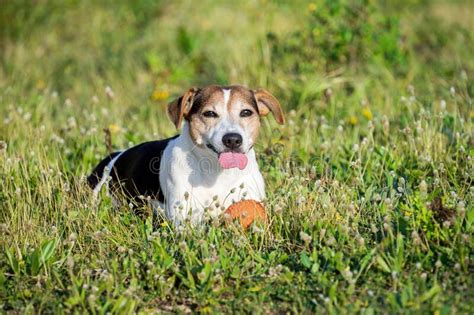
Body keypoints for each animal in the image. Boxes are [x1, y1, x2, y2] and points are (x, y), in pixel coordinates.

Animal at [87, 85, 284, 226]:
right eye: (209, 113)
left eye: (246, 112)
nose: (232, 139)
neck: (218, 172)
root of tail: (113, 158)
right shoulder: (184, 219)